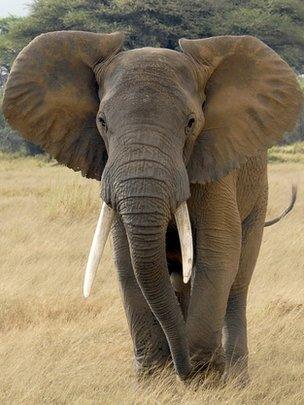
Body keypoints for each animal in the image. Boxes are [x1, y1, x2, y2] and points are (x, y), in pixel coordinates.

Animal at [2, 30, 302, 380]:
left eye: (191, 123)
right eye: (102, 121)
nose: (184, 370)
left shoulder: (215, 166)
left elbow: (219, 251)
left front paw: (203, 378)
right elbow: (127, 261)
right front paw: (156, 379)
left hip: (257, 198)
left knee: (237, 282)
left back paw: (236, 377)